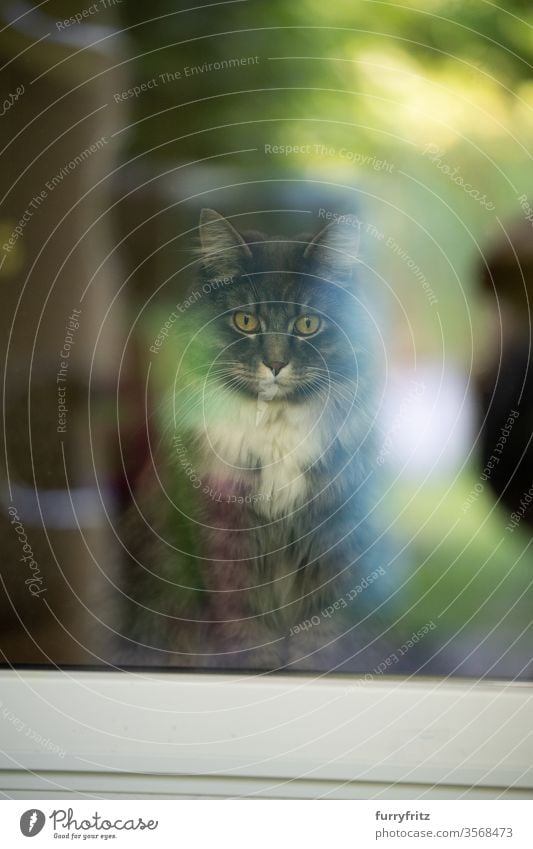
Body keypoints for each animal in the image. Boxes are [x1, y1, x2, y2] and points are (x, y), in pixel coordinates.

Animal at [114, 210, 408, 668]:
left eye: (307, 324)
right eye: (246, 322)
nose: (274, 364)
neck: (275, 429)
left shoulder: (335, 537)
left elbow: (322, 637)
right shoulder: (226, 539)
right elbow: (249, 634)